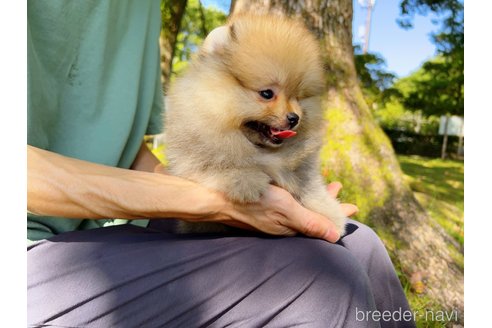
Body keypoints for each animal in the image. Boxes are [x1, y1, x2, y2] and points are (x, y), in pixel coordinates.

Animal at [164, 13, 346, 236]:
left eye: (297, 97)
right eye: (267, 93)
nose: (295, 118)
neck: (260, 150)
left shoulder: (303, 171)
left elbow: (310, 189)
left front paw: (331, 214)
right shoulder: (195, 155)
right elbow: (216, 167)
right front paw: (245, 181)